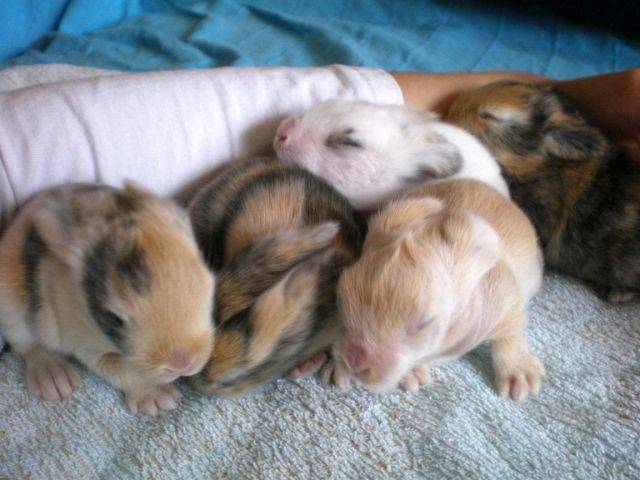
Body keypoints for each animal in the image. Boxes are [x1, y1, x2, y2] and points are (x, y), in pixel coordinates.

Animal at [0, 183, 215, 416]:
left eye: (208, 284)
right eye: (113, 318)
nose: (182, 363)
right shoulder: (88, 348)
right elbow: (121, 371)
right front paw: (158, 399)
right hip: (10, 310)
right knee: (28, 346)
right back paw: (54, 378)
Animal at [322, 179, 545, 402]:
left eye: (426, 323)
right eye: (341, 298)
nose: (353, 364)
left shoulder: (506, 299)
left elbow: (510, 333)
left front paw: (520, 376)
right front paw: (335, 369)